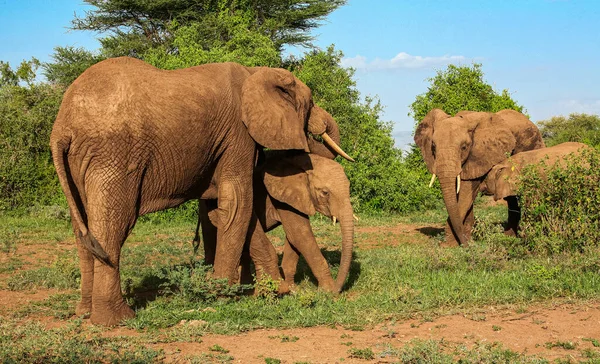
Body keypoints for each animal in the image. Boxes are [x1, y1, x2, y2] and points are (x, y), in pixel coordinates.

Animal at [197, 152, 356, 294]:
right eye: (325, 192)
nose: (338, 289)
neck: (302, 164)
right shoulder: (281, 198)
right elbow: (300, 236)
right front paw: (328, 291)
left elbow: (293, 238)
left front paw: (292, 289)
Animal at [414, 107, 548, 245]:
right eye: (433, 147)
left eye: (464, 147)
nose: (466, 244)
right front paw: (465, 240)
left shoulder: (479, 155)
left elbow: (465, 195)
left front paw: (450, 245)